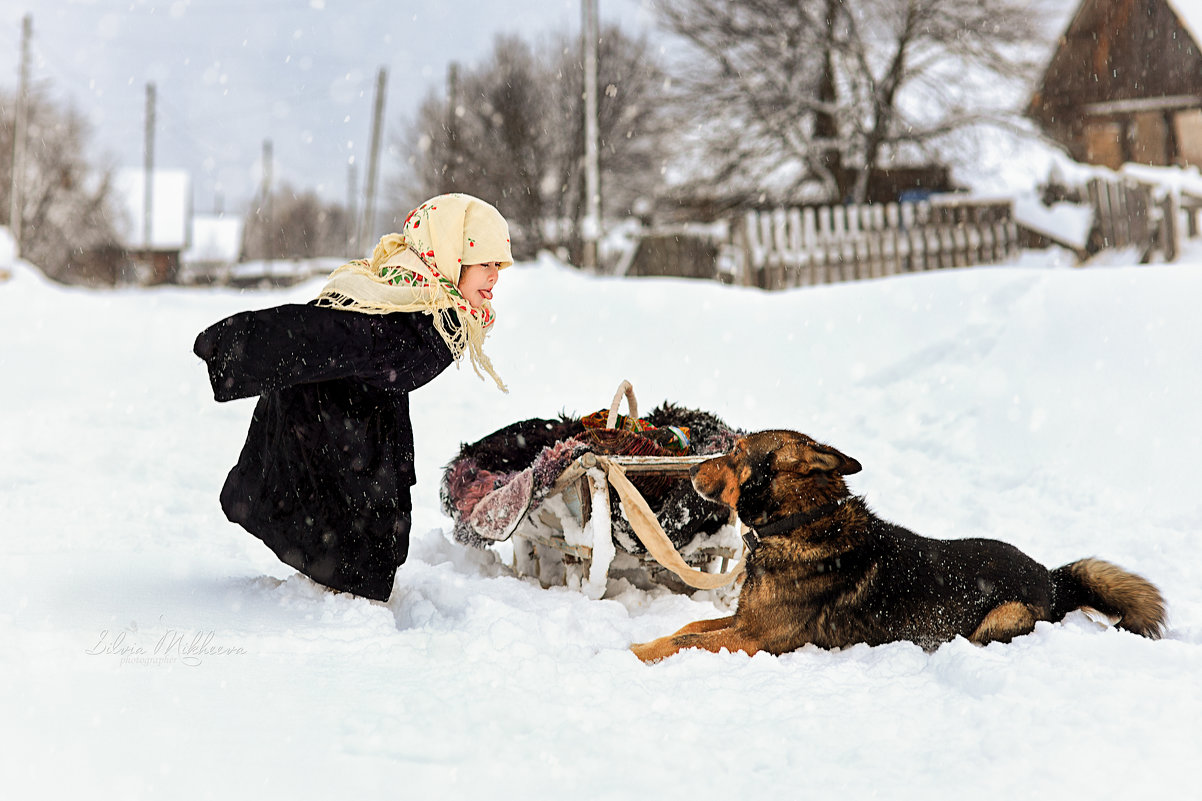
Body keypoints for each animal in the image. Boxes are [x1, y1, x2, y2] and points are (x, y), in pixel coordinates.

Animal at [629, 430, 1163, 659]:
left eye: (737, 451)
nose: (690, 468)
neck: (799, 523)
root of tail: (1052, 578)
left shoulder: (754, 638)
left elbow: (686, 640)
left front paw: (635, 651)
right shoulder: (743, 623)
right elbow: (690, 626)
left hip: (999, 620)